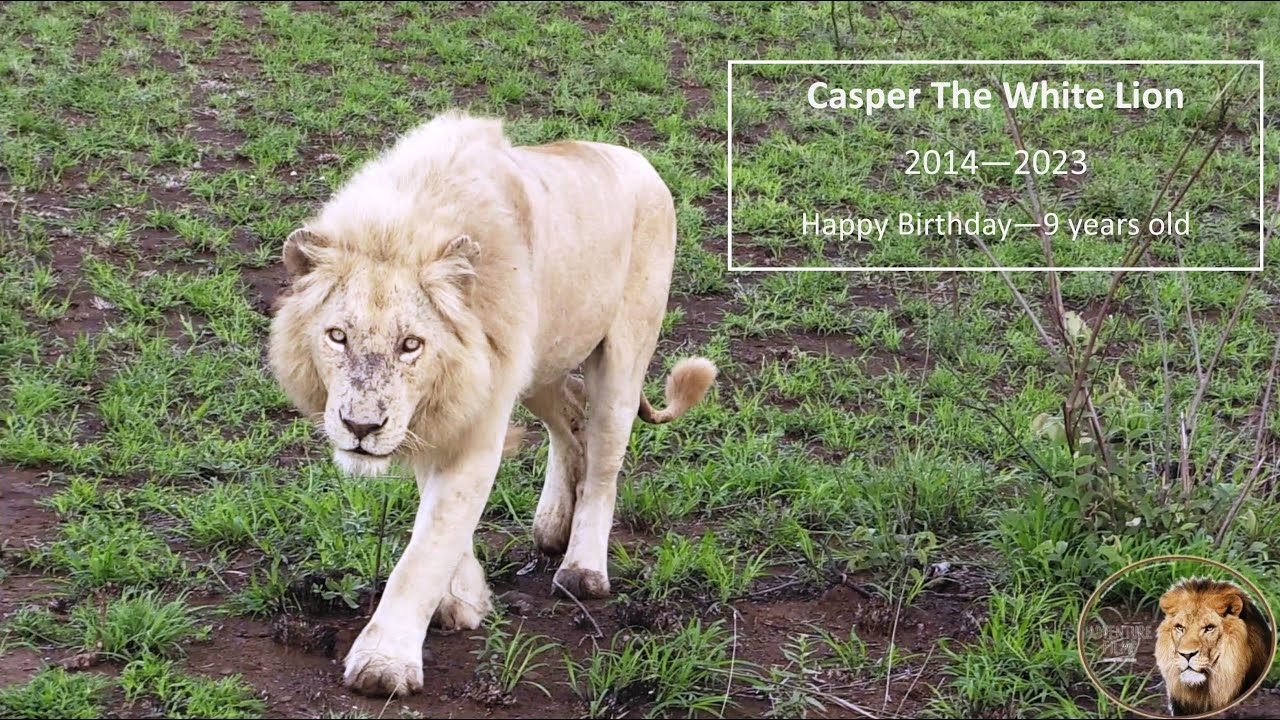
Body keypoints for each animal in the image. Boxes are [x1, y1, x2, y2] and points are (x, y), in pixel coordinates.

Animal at [266, 109, 717, 697]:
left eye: (411, 344)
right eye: (338, 336)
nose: (360, 427)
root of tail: (636, 159)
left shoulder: (475, 422)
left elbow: (427, 546)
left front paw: (384, 664)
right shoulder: (441, 410)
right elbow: (437, 519)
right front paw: (464, 599)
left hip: (623, 354)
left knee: (604, 459)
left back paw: (582, 568)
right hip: (542, 364)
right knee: (569, 421)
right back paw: (553, 523)